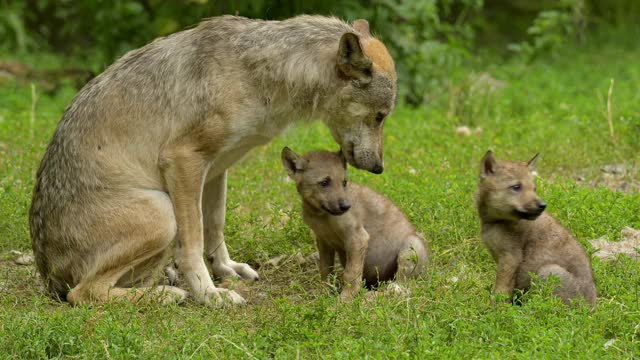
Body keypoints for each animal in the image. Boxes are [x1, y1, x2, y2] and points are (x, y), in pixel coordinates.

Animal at [31, 15, 400, 306]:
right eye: (380, 117)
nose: (379, 168)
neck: (261, 73)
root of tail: (48, 277)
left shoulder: (216, 169)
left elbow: (215, 225)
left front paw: (226, 270)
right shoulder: (184, 161)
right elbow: (193, 243)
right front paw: (208, 293)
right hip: (162, 212)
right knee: (82, 294)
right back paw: (167, 295)